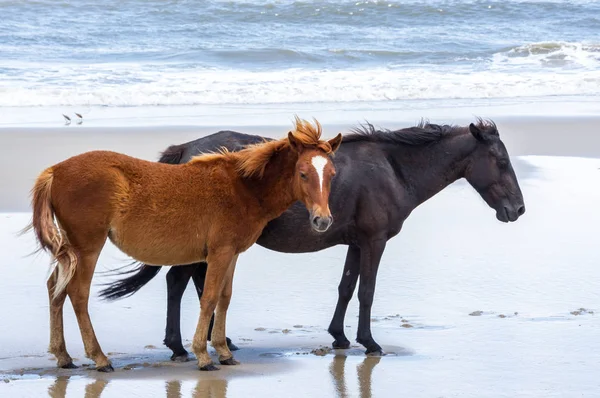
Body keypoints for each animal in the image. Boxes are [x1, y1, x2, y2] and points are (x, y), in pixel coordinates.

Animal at [24, 116, 342, 372]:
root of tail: (55, 170)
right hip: (88, 246)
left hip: (71, 250)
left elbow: (224, 297)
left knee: (55, 288)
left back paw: (63, 356)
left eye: (332, 175)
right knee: (77, 294)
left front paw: (224, 352)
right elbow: (209, 298)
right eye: (303, 173)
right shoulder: (219, 253)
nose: (322, 220)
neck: (243, 187)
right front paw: (204, 355)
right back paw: (100, 358)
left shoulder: (232, 254)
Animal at [102, 116, 524, 360]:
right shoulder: (375, 241)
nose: (517, 209)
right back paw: (186, 346)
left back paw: (204, 343)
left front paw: (339, 337)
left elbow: (347, 287)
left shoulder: (357, 242)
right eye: (501, 161)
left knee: (186, 282)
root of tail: (186, 151)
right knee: (182, 281)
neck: (392, 170)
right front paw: (369, 342)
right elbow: (367, 291)